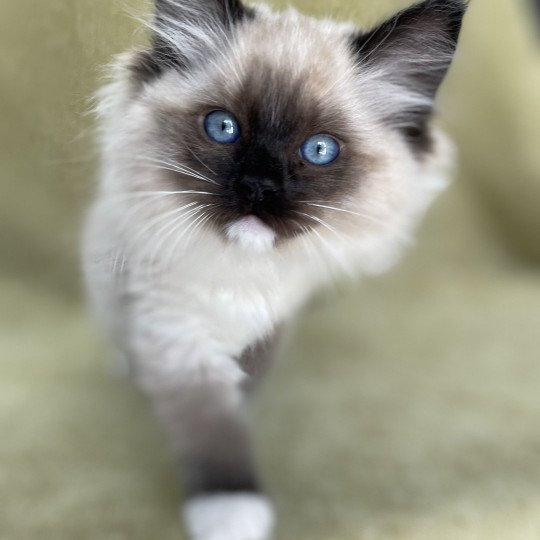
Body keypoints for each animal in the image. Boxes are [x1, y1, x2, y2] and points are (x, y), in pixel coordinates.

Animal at [82, 1, 466, 540]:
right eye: (223, 128)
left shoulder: (269, 329)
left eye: (319, 151)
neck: (242, 274)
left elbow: (241, 397)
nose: (258, 187)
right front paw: (230, 513)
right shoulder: (179, 340)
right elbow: (213, 428)